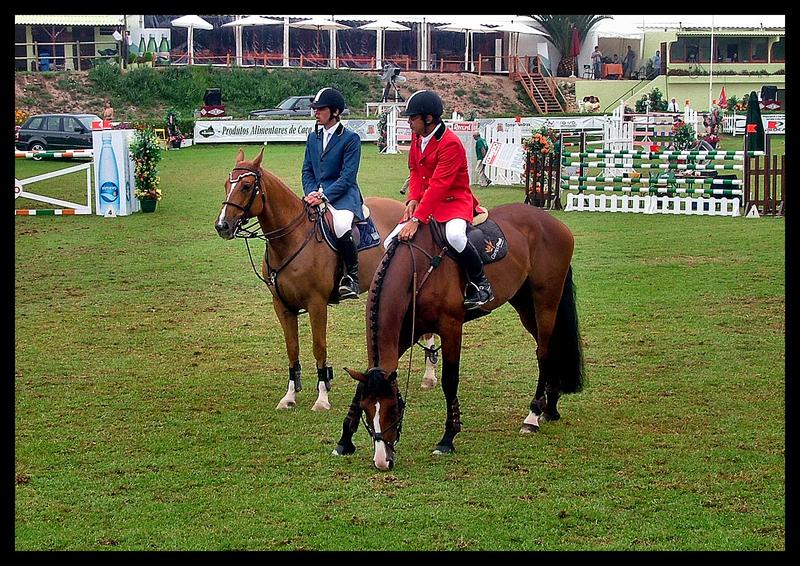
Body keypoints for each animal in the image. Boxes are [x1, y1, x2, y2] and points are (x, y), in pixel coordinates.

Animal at [212, 146, 438, 412]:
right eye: (226, 184)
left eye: (246, 186)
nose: (222, 226)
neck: (291, 240)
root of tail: (411, 216)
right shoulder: (282, 306)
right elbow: (292, 348)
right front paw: (289, 396)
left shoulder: (316, 304)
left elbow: (318, 347)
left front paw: (322, 397)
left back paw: (428, 377)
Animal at [334, 204, 584, 470]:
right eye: (366, 410)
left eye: (394, 409)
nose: (383, 461)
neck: (416, 269)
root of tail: (551, 220)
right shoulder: (404, 334)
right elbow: (362, 384)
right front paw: (344, 441)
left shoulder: (451, 327)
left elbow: (450, 380)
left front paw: (448, 438)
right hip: (525, 303)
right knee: (550, 349)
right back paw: (551, 407)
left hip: (545, 302)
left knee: (544, 352)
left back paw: (533, 416)